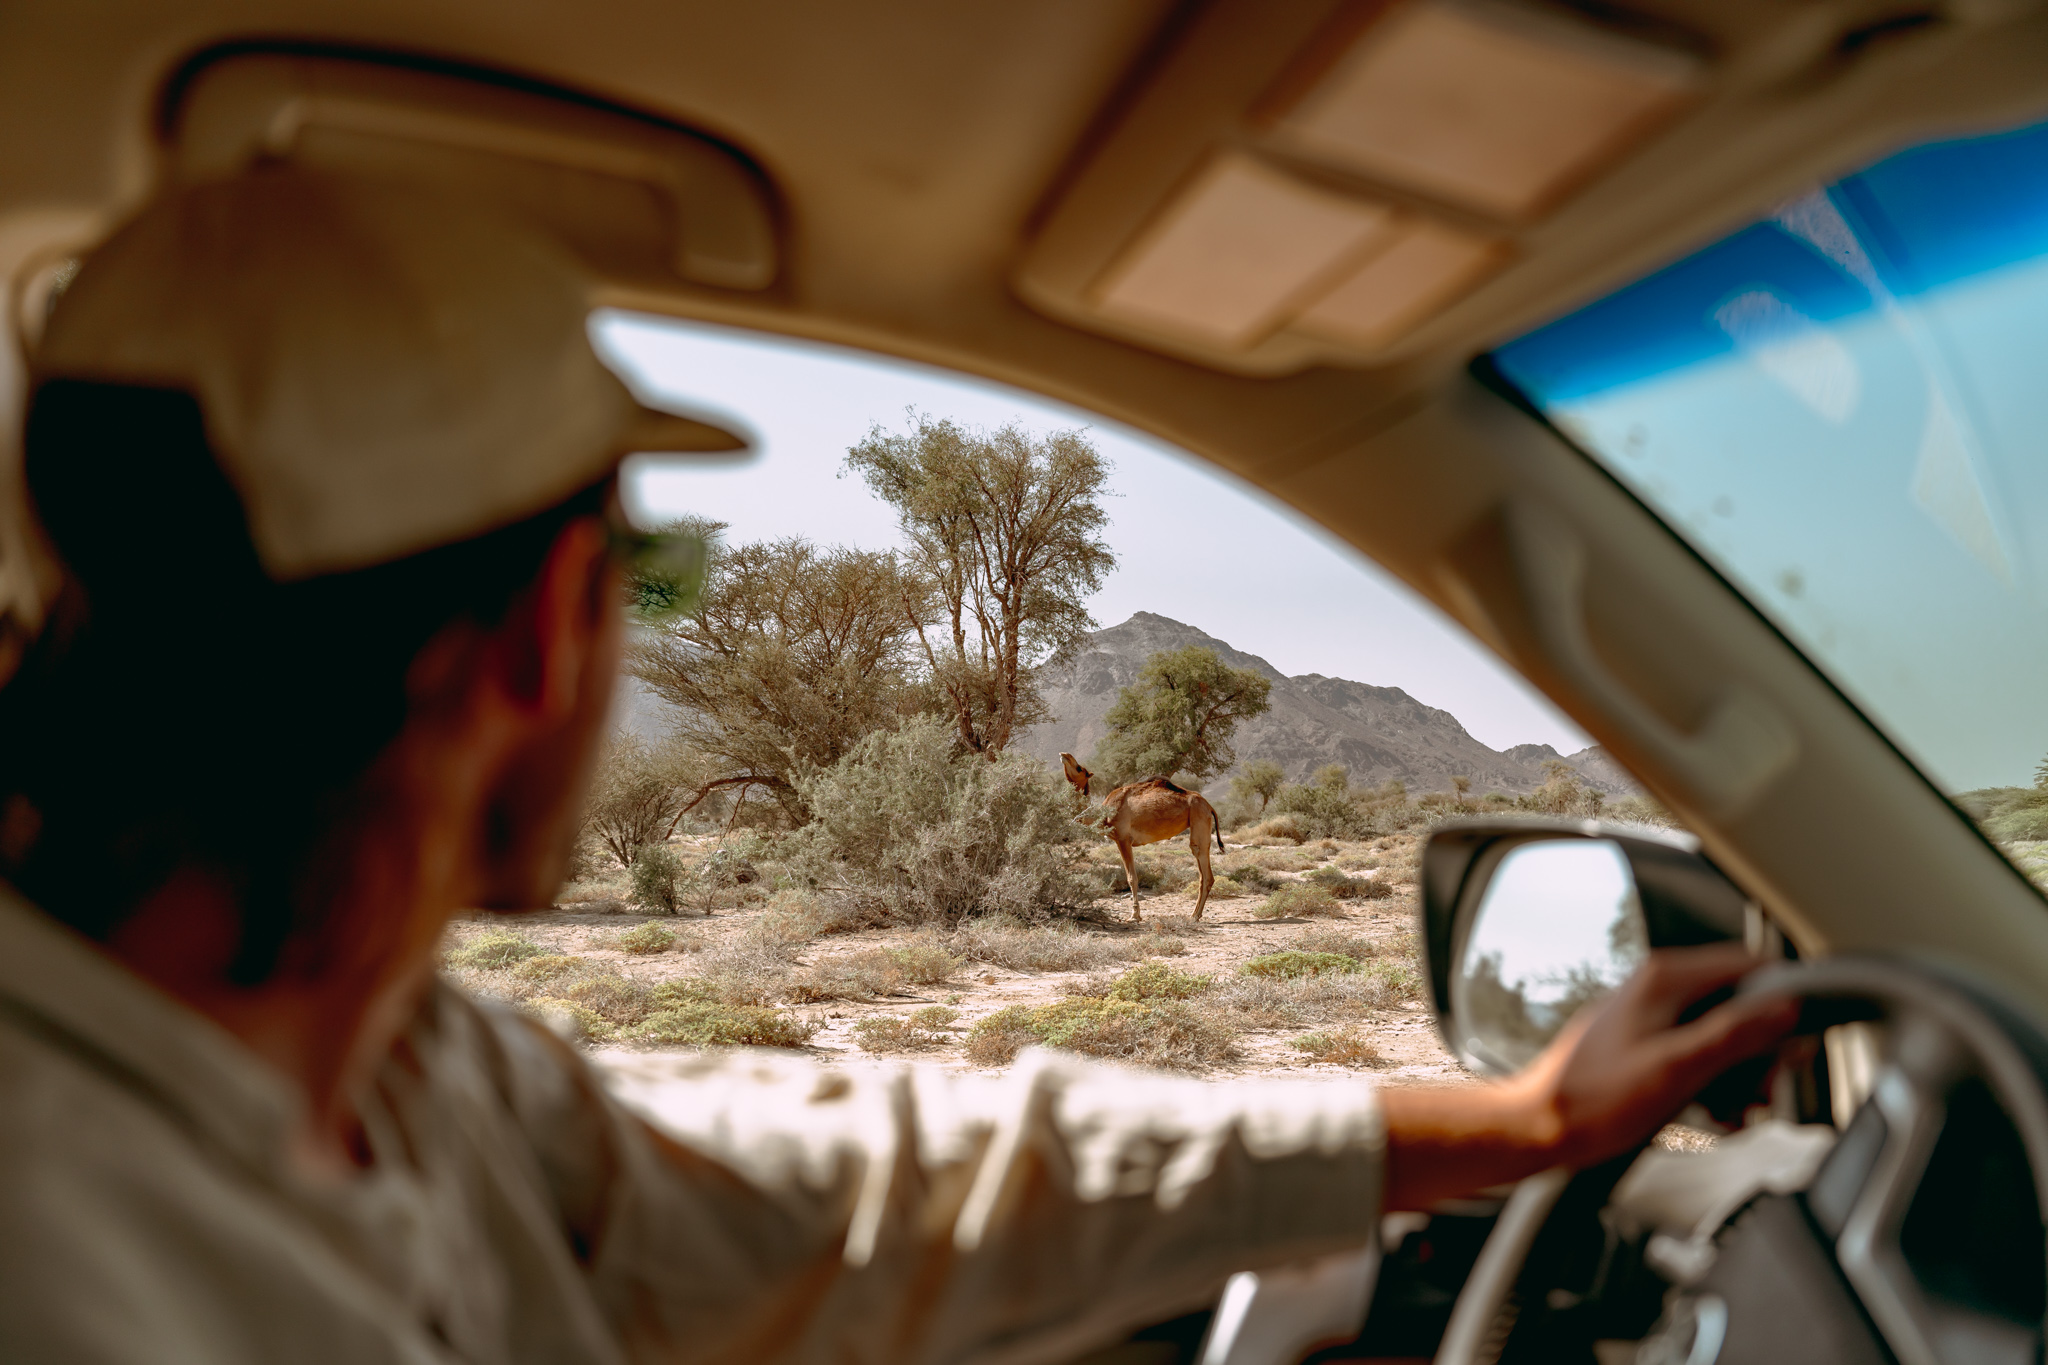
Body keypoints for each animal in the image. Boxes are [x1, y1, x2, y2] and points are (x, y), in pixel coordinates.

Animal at [1056, 753, 1212, 925]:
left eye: (1080, 769)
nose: (1064, 755)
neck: (1103, 814)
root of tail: (1208, 805)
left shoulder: (1123, 839)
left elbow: (1132, 878)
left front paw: (1134, 916)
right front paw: (1135, 914)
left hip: (1199, 819)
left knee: (1204, 869)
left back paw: (1194, 915)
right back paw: (1196, 914)